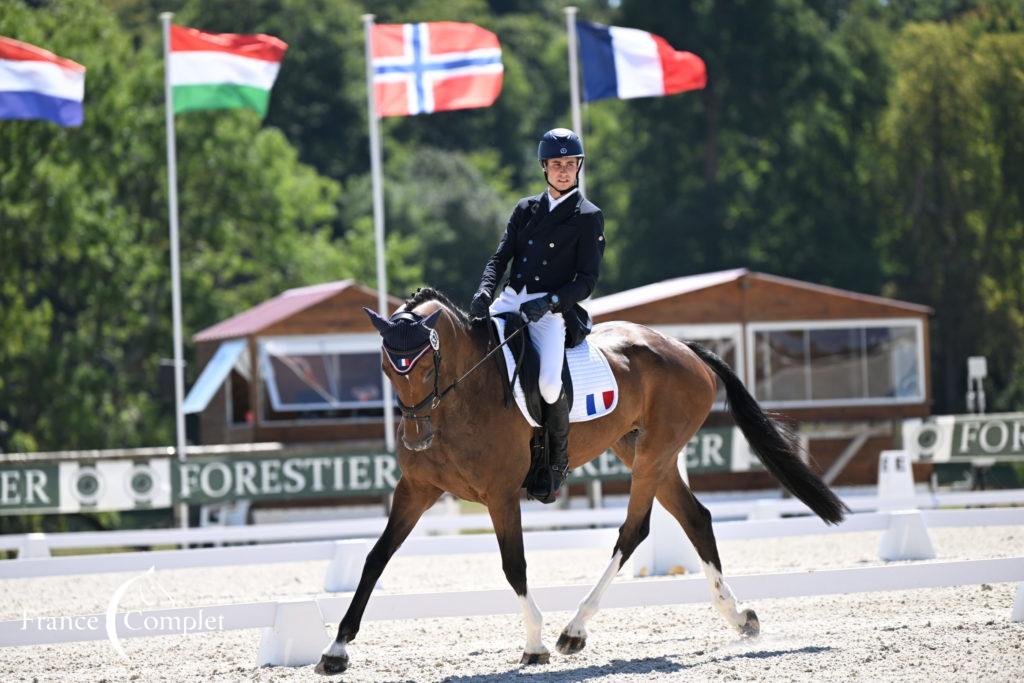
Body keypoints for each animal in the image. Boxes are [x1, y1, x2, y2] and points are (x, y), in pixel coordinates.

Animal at [315, 286, 843, 675]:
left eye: (427, 366)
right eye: (387, 368)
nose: (416, 437)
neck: (461, 397)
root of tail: (683, 348)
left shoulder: (500, 495)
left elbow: (515, 566)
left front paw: (534, 644)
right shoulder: (416, 490)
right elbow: (376, 559)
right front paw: (336, 650)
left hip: (653, 455)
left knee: (634, 531)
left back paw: (573, 631)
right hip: (643, 451)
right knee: (696, 517)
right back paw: (740, 617)